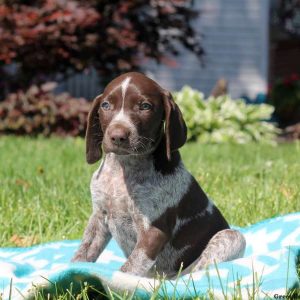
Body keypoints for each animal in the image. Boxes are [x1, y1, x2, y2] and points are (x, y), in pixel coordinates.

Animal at [72, 71, 246, 278]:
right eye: (105, 105)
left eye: (145, 106)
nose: (117, 136)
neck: (123, 168)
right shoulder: (99, 216)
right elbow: (84, 250)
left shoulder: (154, 230)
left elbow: (130, 267)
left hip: (231, 237)